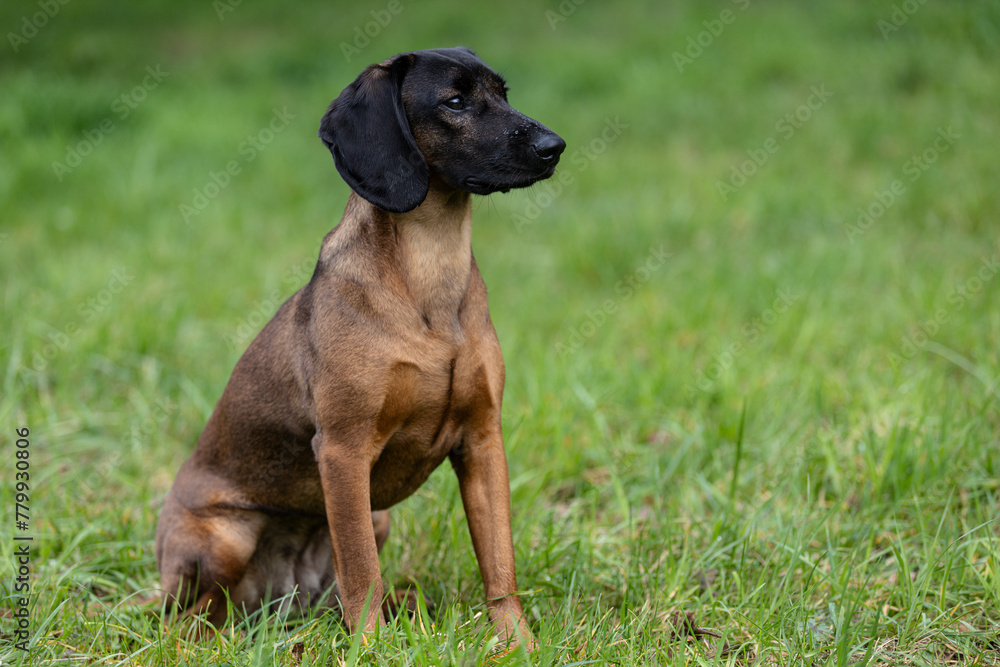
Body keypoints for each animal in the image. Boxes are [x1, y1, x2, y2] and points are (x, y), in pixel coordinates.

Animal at [154, 48, 564, 652]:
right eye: (455, 101)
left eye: (503, 93)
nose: (553, 145)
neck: (429, 275)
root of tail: (277, 604)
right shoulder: (344, 452)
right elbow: (362, 572)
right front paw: (371, 647)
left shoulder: (483, 442)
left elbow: (499, 565)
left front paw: (519, 645)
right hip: (227, 538)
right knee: (193, 612)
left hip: (376, 518)